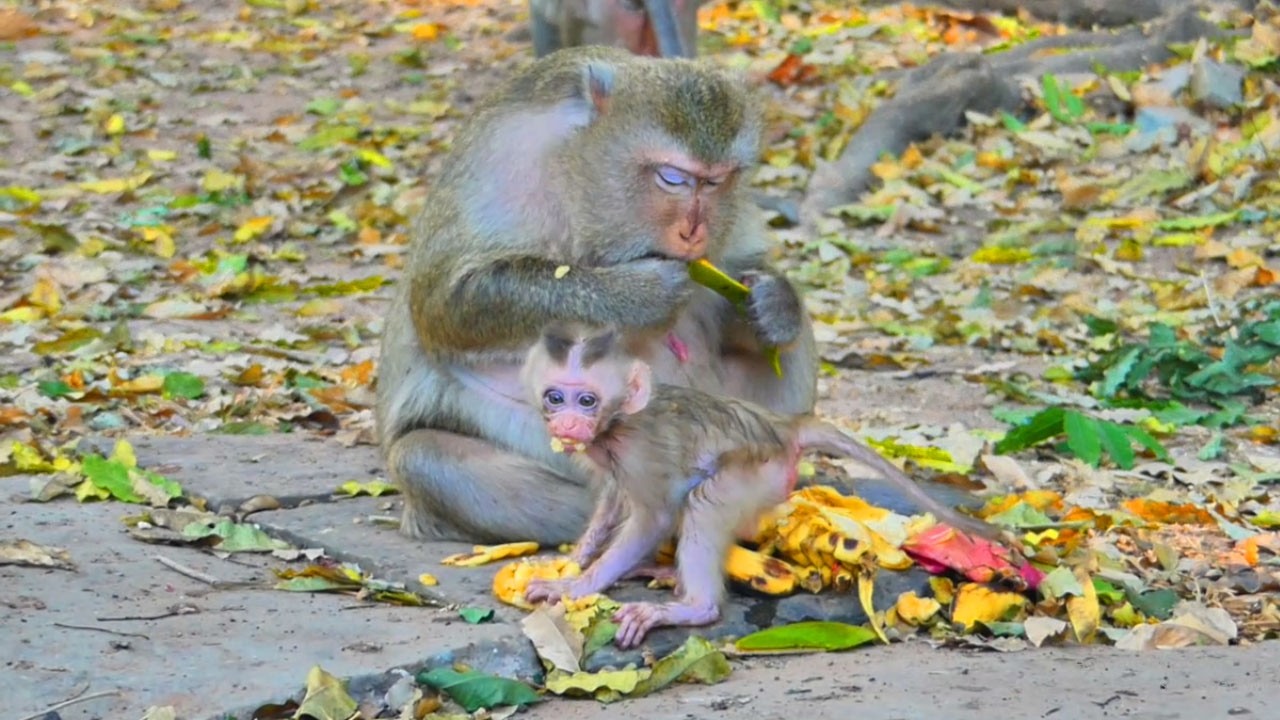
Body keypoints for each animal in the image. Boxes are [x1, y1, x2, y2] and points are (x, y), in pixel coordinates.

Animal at [374, 46, 819, 547]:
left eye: (714, 182)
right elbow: (446, 303)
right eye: (672, 178)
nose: (693, 232)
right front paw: (638, 295)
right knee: (424, 456)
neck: (575, 162)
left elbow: (744, 274)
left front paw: (773, 304)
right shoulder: (504, 158)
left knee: (791, 347)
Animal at [519, 323, 1010, 649]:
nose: (566, 422)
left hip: (756, 473)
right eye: (555, 397)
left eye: (587, 400)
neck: (616, 423)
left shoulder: (638, 448)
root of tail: (782, 426)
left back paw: (694, 606)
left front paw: (577, 586)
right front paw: (575, 559)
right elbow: (613, 499)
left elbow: (653, 515)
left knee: (704, 500)